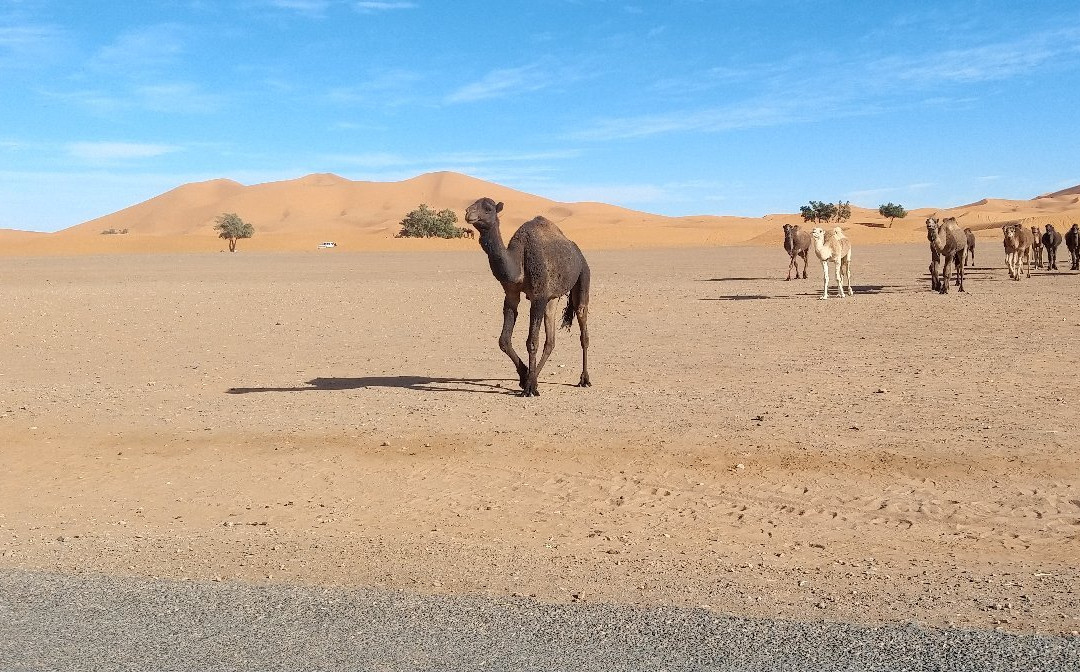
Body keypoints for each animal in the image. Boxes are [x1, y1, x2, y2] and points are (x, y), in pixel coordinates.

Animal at [464, 199, 591, 399]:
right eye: (472, 204)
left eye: (488, 208)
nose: (469, 213)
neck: (518, 263)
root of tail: (577, 252)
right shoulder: (511, 294)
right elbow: (504, 340)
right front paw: (525, 377)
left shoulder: (538, 297)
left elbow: (531, 342)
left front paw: (529, 387)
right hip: (552, 298)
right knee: (550, 340)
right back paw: (535, 377)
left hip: (583, 274)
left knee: (582, 322)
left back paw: (584, 379)